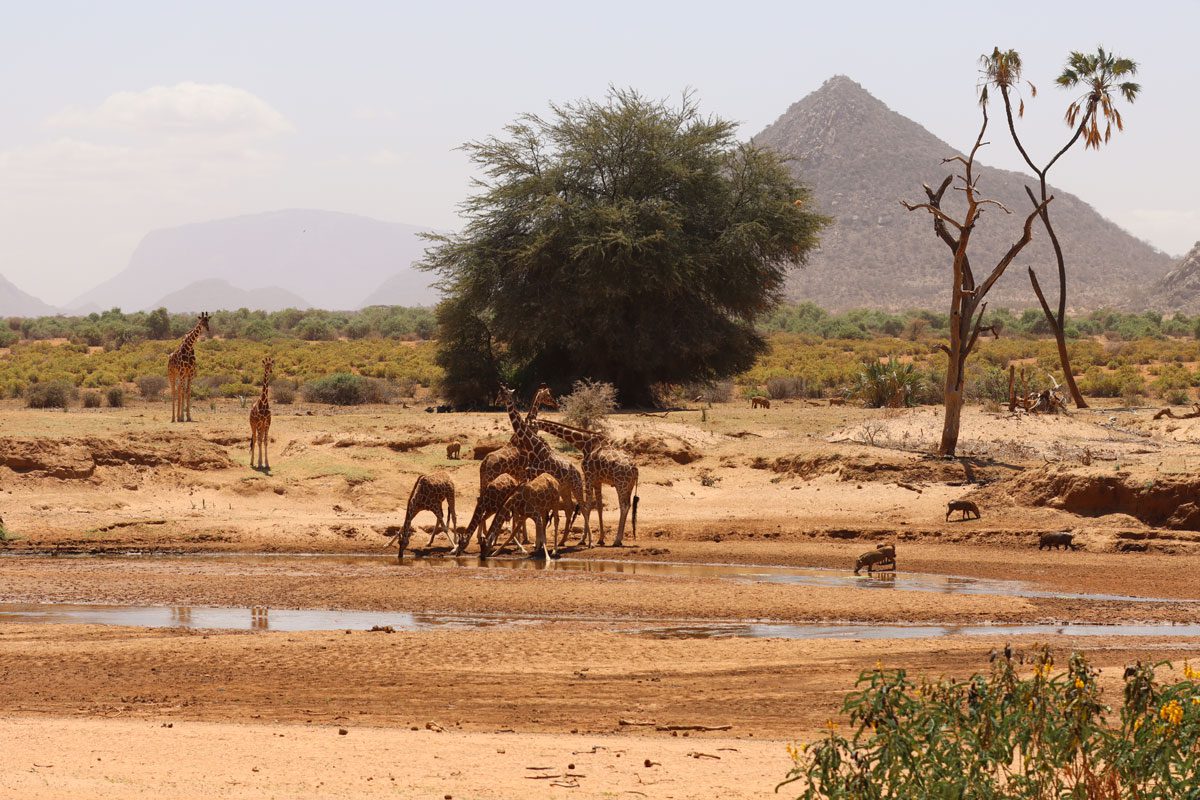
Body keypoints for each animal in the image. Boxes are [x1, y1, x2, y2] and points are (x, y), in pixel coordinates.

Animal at [494, 383, 592, 546]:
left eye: (503, 394)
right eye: (499, 393)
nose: (496, 402)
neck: (532, 447)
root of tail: (578, 472)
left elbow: (542, 512)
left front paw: (539, 542)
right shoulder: (531, 477)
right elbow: (541, 511)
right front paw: (539, 542)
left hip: (576, 486)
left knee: (583, 508)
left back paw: (588, 541)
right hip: (565, 488)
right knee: (569, 509)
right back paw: (562, 541)